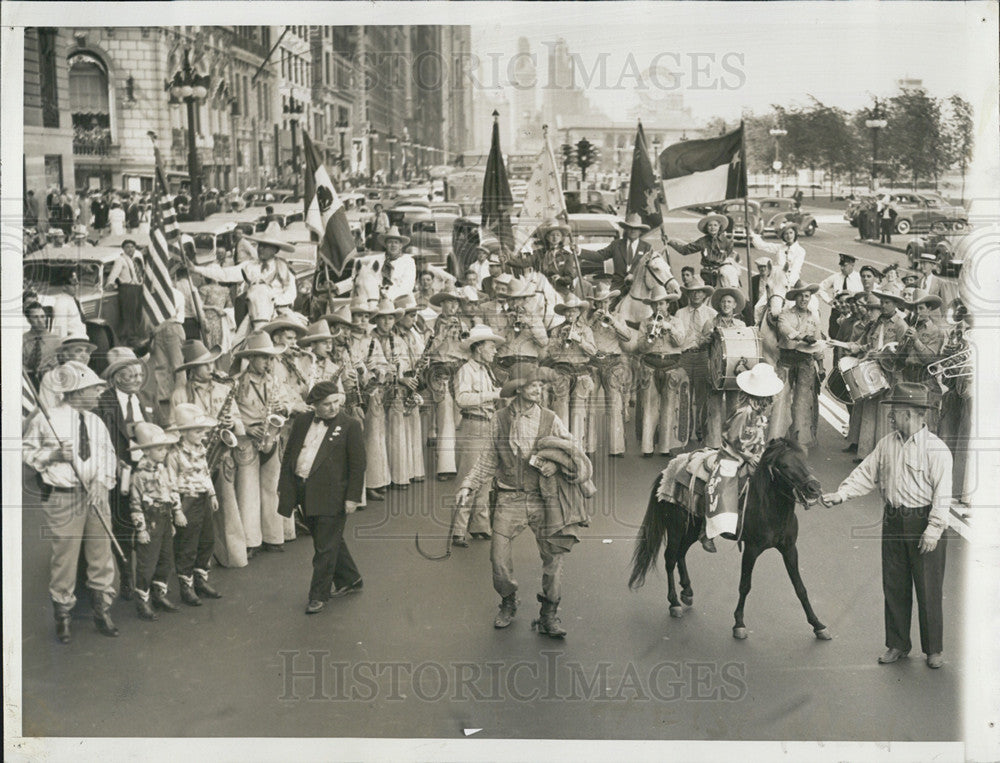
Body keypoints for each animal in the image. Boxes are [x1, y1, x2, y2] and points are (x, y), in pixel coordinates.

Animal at [628, 438, 832, 640]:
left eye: (804, 460)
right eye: (784, 465)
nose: (814, 488)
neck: (768, 507)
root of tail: (666, 471)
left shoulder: (789, 549)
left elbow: (800, 588)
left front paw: (818, 625)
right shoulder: (751, 549)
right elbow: (745, 586)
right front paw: (739, 624)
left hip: (692, 529)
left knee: (681, 554)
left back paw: (687, 591)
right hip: (676, 529)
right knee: (670, 559)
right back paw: (674, 602)